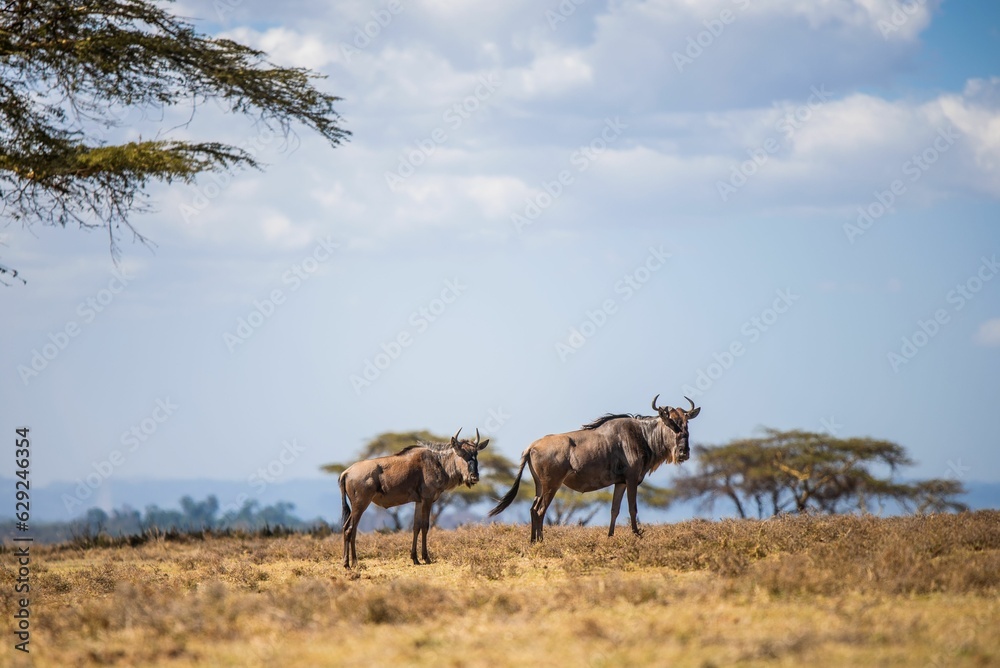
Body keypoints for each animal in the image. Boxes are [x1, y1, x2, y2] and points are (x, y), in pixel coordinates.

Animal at [339, 428, 489, 567]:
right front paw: (426, 558)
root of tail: (347, 472)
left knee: (348, 528)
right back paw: (351, 563)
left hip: (356, 507)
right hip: (360, 504)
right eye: (462, 454)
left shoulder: (419, 502)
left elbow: (416, 527)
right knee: (350, 529)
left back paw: (349, 562)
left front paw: (415, 558)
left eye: (475, 454)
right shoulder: (427, 500)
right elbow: (425, 526)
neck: (439, 462)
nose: (474, 477)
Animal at [489, 396, 700, 542]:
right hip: (552, 485)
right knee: (540, 511)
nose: (684, 452)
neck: (642, 435)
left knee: (533, 509)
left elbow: (614, 509)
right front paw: (637, 535)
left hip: (539, 486)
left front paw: (610, 536)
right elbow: (632, 508)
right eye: (670, 423)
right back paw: (541, 542)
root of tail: (531, 446)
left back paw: (533, 541)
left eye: (686, 423)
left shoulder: (620, 482)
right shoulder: (632, 479)